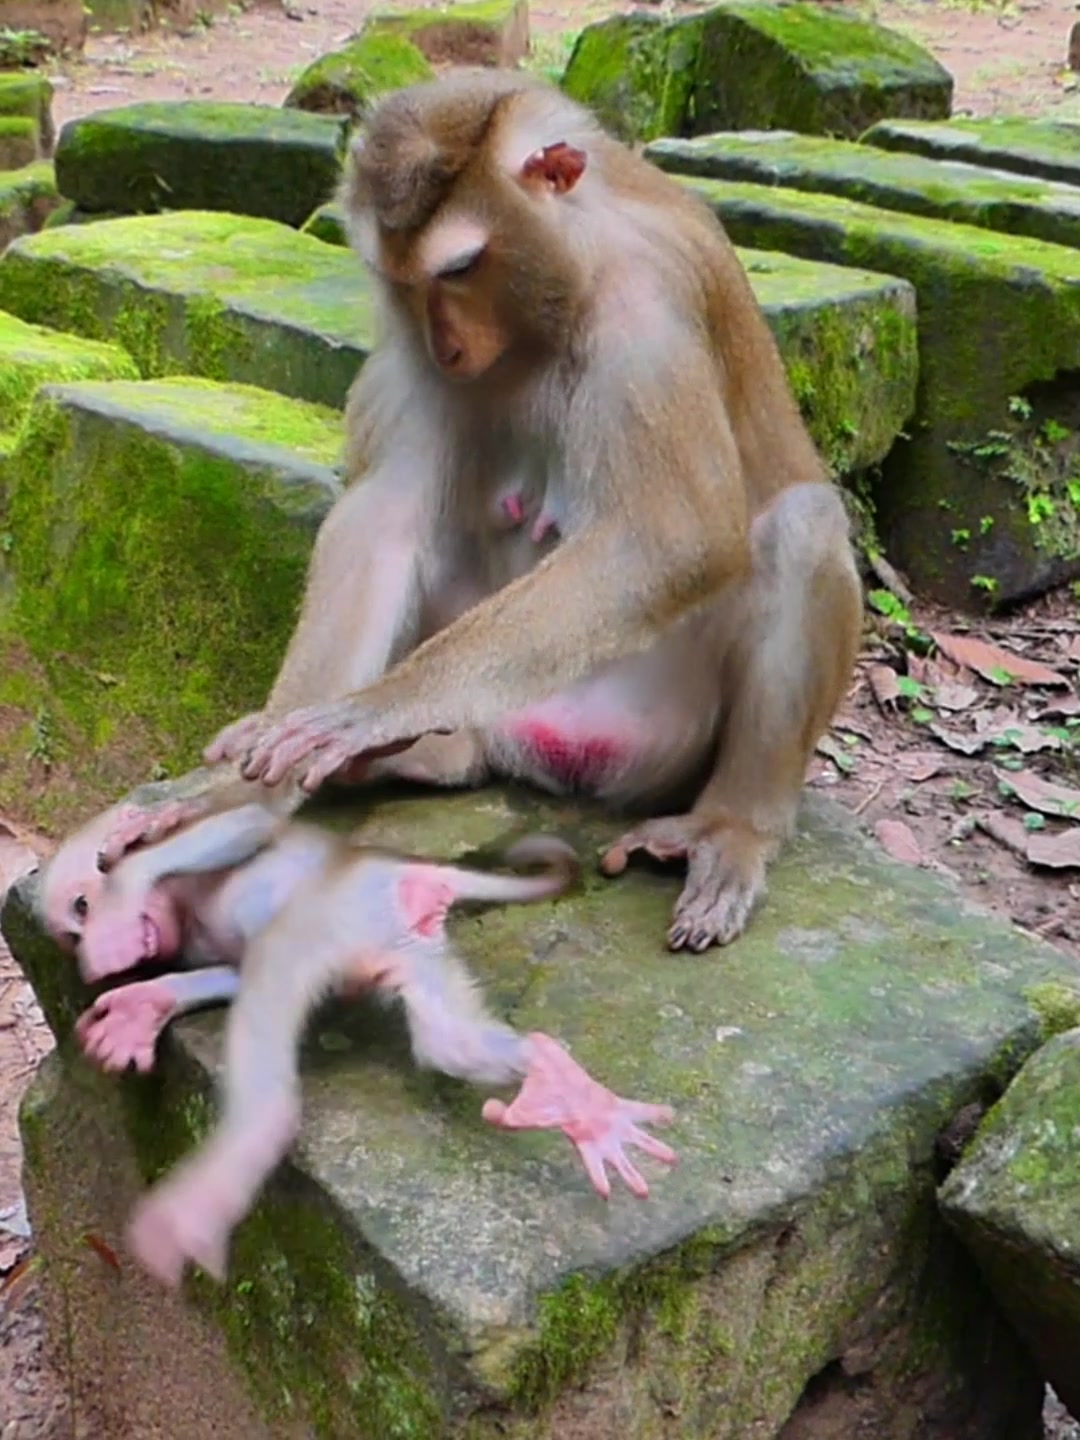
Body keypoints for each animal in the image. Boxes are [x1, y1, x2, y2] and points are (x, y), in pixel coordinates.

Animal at [37, 801, 678, 1286]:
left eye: (81, 907)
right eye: (70, 931)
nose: (83, 942)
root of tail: (383, 866)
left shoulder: (180, 850)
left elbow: (245, 824)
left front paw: (119, 905)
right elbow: (228, 969)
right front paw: (147, 1003)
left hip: (331, 911)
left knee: (274, 989)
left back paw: (212, 1189)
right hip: (395, 936)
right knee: (449, 1040)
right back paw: (568, 1097)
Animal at [75, 69, 860, 955]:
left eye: (461, 266)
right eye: (406, 282)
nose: (448, 345)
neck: (561, 285)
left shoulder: (646, 304)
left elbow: (677, 537)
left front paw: (379, 708)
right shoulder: (408, 337)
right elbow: (384, 519)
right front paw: (235, 797)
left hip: (667, 734)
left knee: (804, 525)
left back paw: (731, 829)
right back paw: (433, 757)